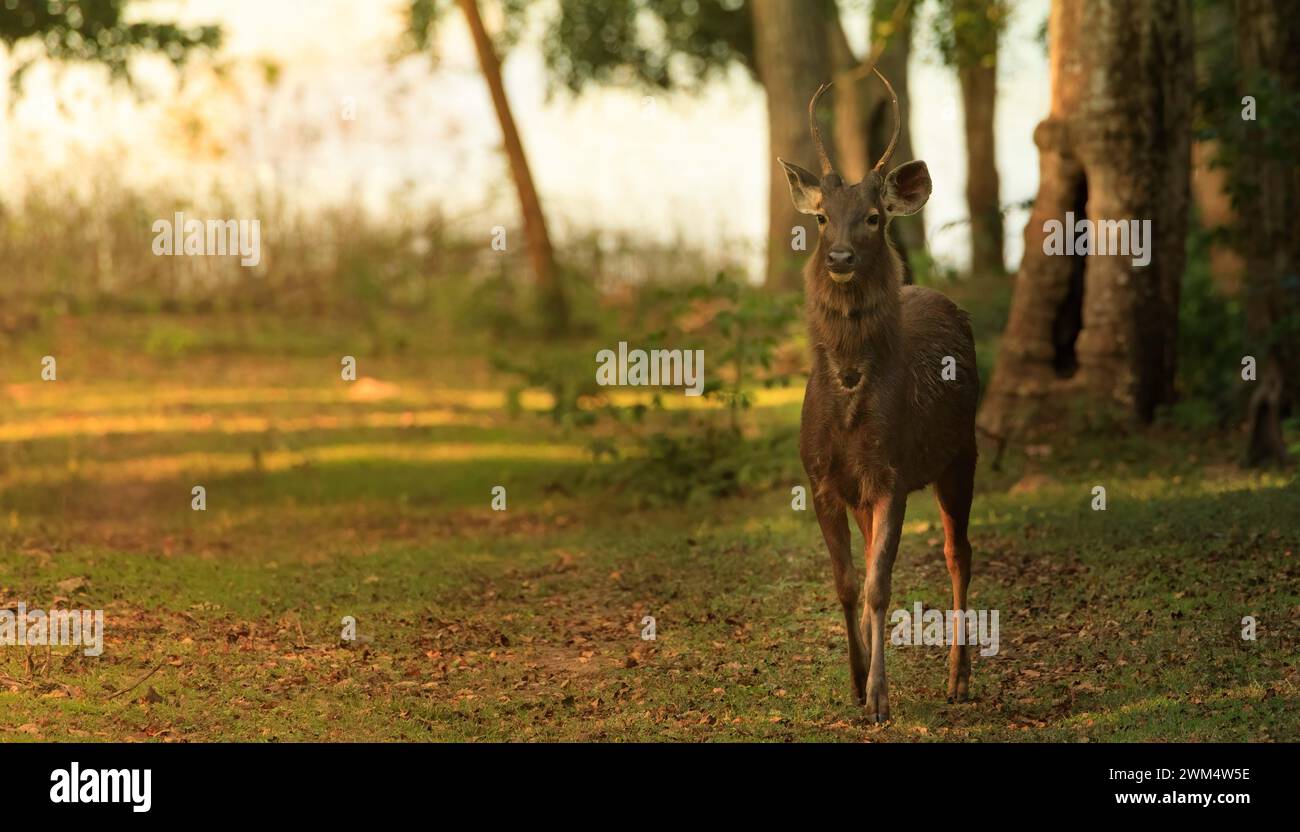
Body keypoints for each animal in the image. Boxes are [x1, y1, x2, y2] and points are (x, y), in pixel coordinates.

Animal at [774, 69, 977, 722]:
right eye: (820, 219)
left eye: (872, 217)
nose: (839, 256)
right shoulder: (822, 478)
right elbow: (847, 583)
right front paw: (856, 681)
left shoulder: (892, 472)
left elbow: (881, 584)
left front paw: (881, 698)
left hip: (962, 452)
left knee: (958, 551)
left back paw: (958, 679)